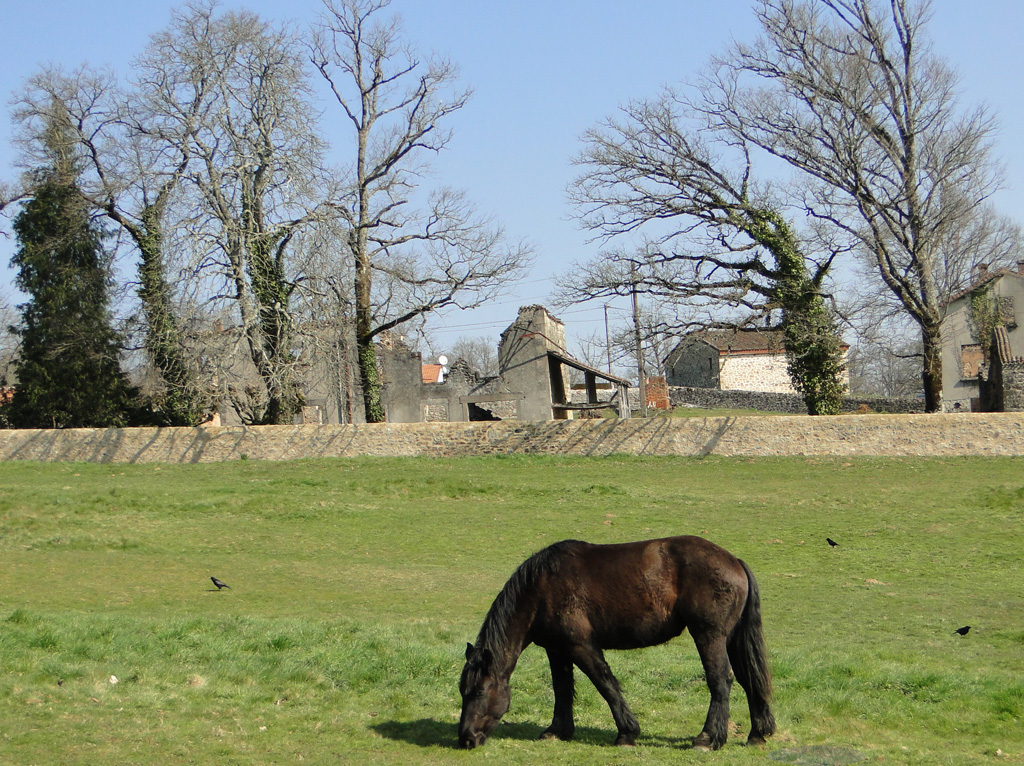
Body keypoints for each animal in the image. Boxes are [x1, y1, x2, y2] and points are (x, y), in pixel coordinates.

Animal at [458, 536, 774, 749]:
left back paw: (708, 738)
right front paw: (557, 730)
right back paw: (758, 733)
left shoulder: (581, 647)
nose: (466, 739)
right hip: (730, 640)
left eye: (479, 691)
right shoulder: (557, 650)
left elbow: (605, 684)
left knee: (720, 681)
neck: (541, 588)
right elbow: (562, 689)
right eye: (463, 690)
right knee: (748, 679)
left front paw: (627, 732)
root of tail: (734, 562)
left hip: (709, 637)